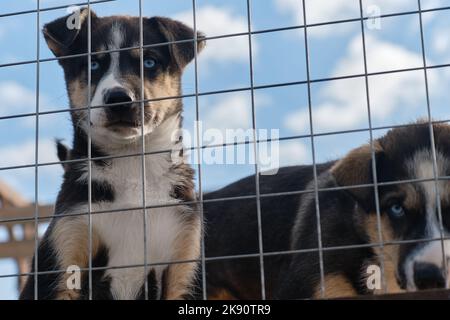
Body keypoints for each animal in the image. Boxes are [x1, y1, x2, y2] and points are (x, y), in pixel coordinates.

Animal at [20, 9, 205, 300]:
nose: (119, 99)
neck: (131, 160)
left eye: (149, 62)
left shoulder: (183, 264)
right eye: (94, 65)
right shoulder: (67, 247)